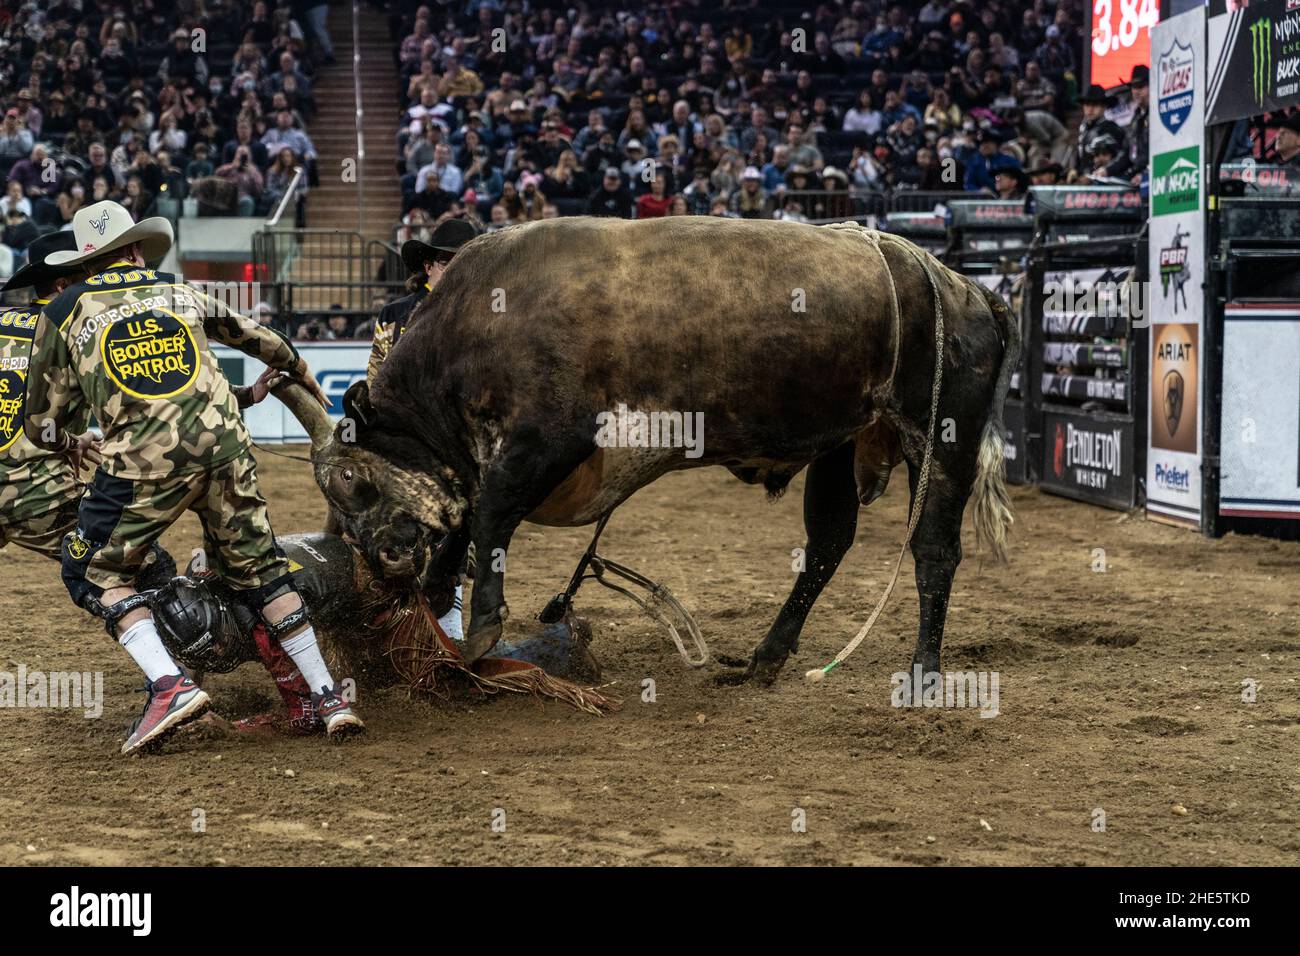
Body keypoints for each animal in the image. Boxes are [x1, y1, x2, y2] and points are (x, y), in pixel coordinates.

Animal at [289, 217, 1019, 686]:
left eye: (350, 480)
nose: (381, 558)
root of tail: (962, 285)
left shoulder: (548, 440)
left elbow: (490, 511)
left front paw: (482, 625)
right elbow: (465, 514)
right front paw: (441, 592)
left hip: (941, 432)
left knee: (933, 548)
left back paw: (924, 670)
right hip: (842, 442)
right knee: (828, 543)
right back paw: (766, 657)